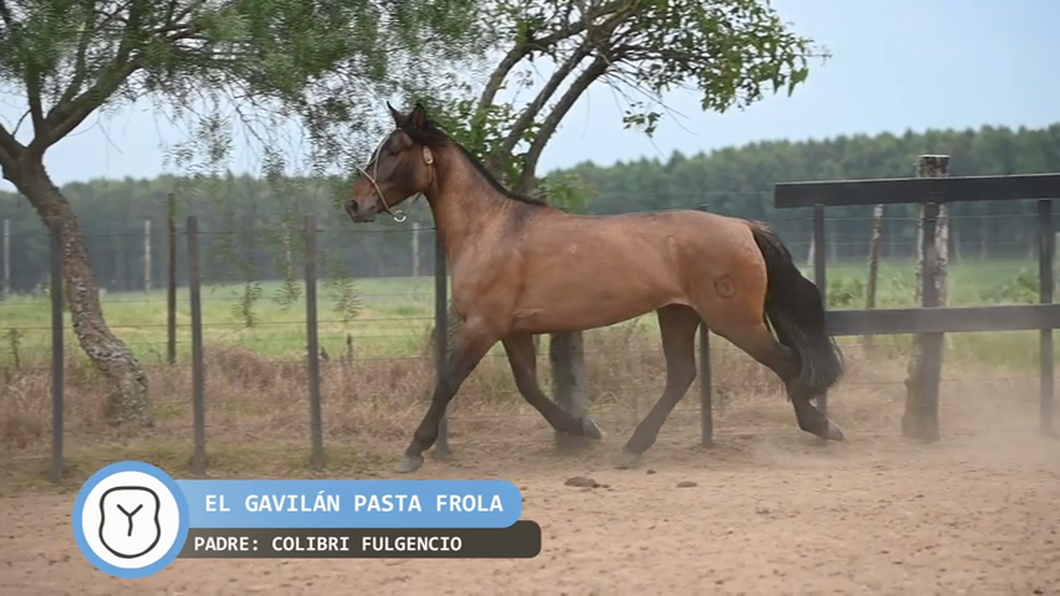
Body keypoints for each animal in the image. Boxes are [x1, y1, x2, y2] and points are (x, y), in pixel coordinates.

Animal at [347, 103, 843, 472]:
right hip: (678, 314)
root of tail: (743, 226)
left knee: (785, 361)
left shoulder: (483, 326)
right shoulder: (514, 330)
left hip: (733, 320)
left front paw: (413, 450)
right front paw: (586, 428)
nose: (354, 204)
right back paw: (632, 448)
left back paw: (823, 428)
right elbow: (530, 388)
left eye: (394, 150)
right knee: (683, 374)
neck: (491, 230)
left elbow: (448, 381)